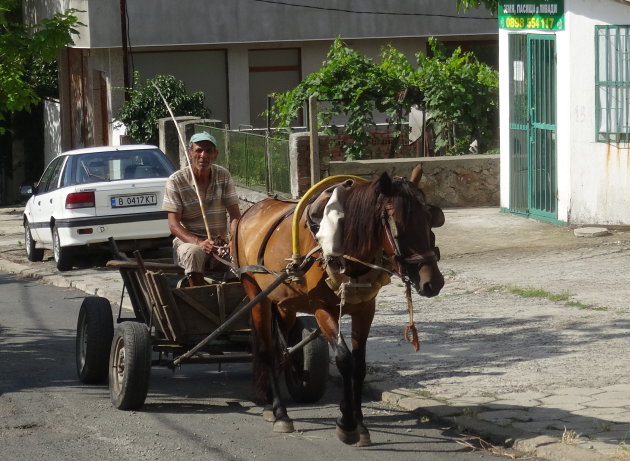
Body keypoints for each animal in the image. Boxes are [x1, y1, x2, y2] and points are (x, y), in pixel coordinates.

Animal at [235, 164, 446, 444]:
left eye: (430, 219)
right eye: (396, 225)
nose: (432, 282)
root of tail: (250, 211)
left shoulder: (366, 309)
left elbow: (360, 364)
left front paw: (360, 424)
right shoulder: (322, 309)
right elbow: (345, 360)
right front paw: (346, 424)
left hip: (283, 301)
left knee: (280, 347)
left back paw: (271, 403)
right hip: (255, 294)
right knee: (266, 350)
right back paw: (281, 413)